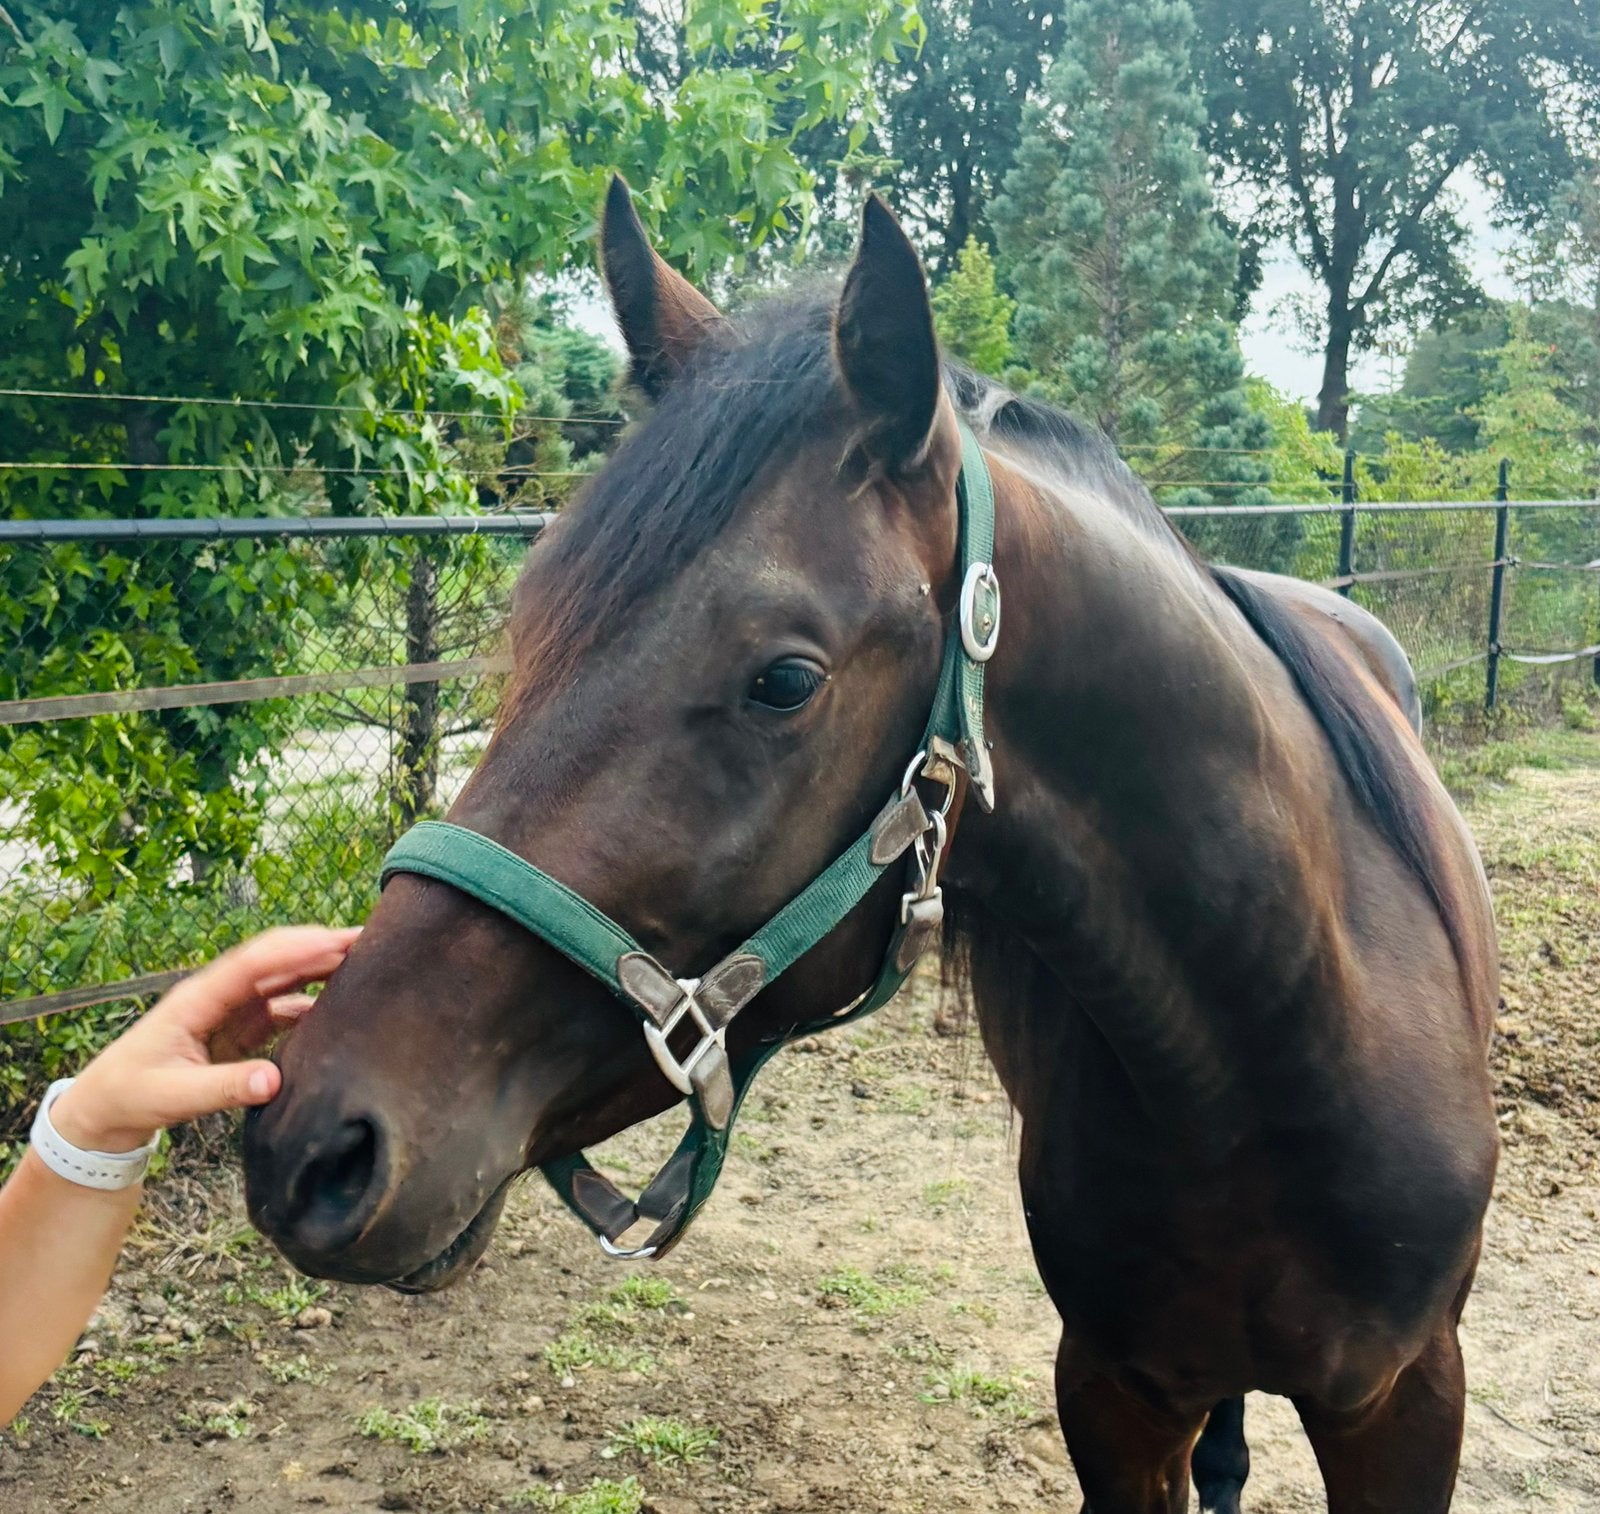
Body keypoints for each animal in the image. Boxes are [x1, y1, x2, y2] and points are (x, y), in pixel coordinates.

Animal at [242, 180, 1499, 1512]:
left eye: (785, 679)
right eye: (533, 623)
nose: (312, 1144)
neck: (1264, 1050)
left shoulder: (1407, 1398)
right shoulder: (1114, 1390)